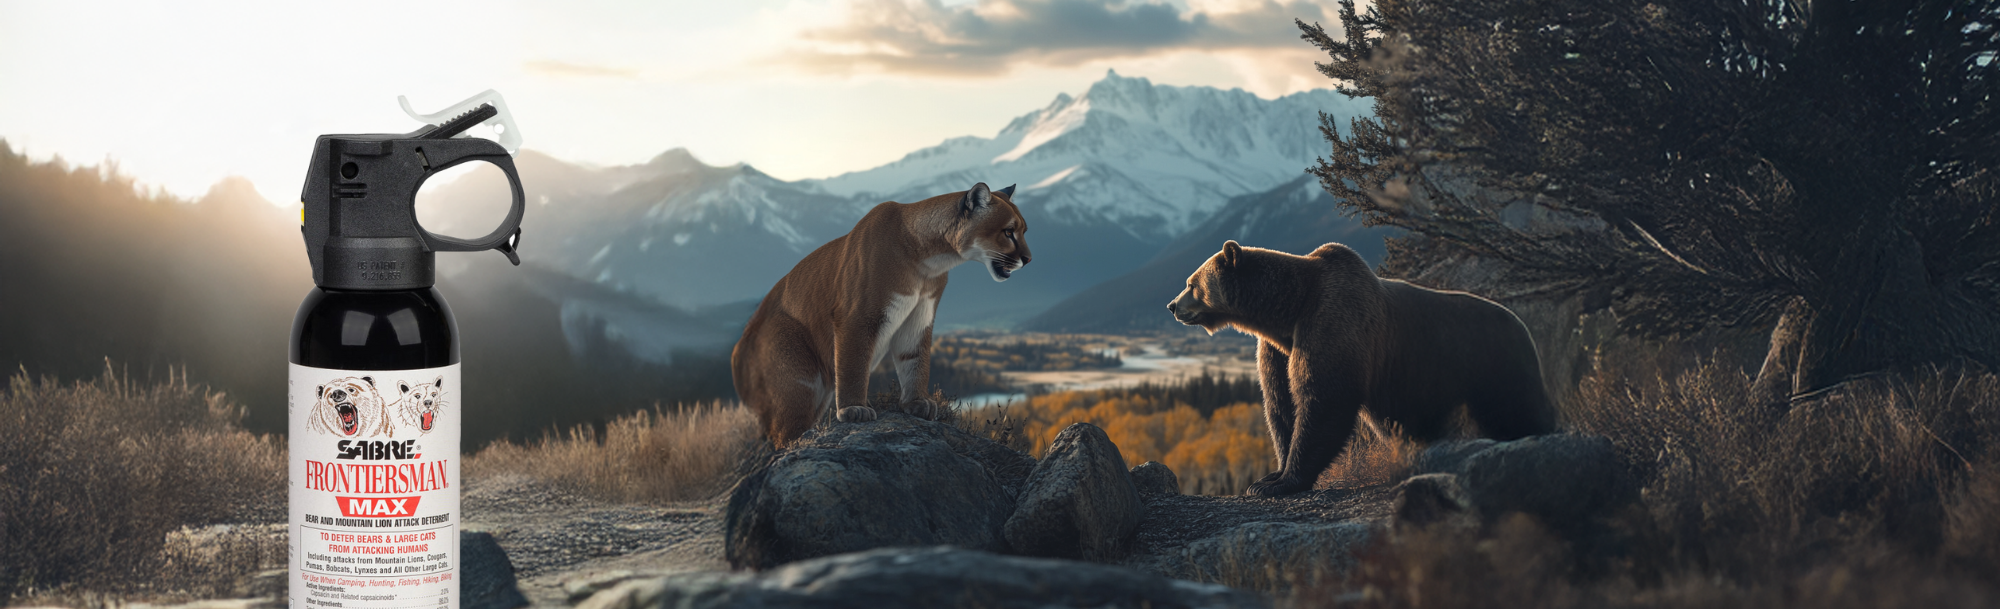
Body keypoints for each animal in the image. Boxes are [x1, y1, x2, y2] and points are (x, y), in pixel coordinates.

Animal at [1166, 240, 1555, 496]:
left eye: (1191, 283)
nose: (1172, 305)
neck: (1288, 311)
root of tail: (1522, 324)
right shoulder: (1277, 350)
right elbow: (1281, 404)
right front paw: (1268, 477)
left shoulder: (1334, 321)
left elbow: (1323, 398)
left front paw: (1283, 482)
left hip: (1493, 365)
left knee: (1519, 411)